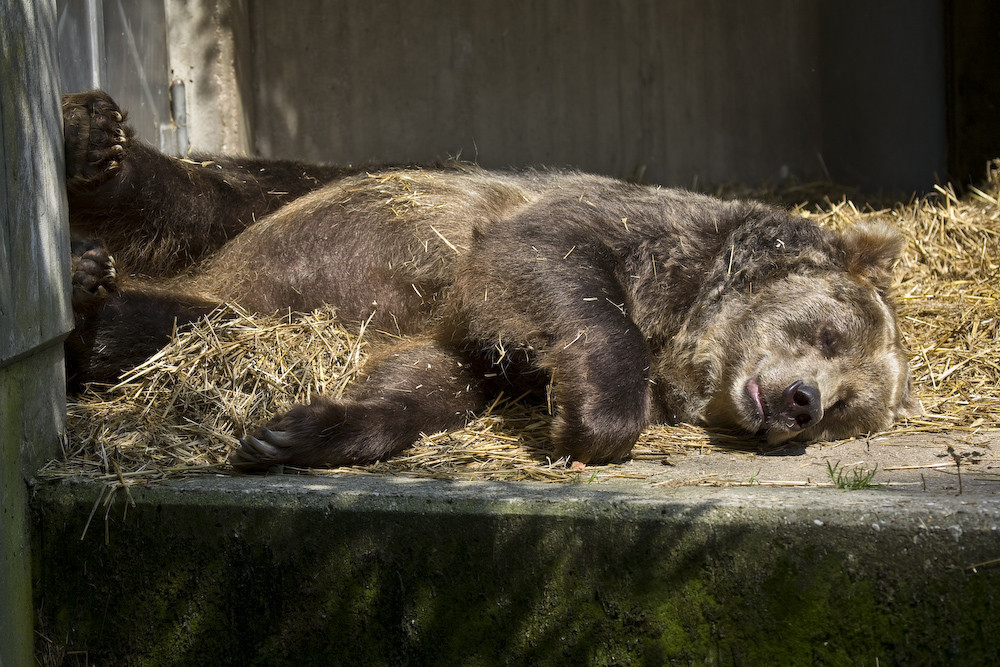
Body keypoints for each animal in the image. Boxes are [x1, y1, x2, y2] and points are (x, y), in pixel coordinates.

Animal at [62, 91, 920, 472]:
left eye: (848, 409)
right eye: (826, 331)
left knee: (175, 320)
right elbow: (548, 255)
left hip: (234, 296)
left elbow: (427, 381)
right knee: (185, 198)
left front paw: (299, 430)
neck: (679, 320)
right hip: (275, 199)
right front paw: (593, 418)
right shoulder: (631, 228)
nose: (804, 403)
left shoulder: (477, 348)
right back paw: (90, 157)